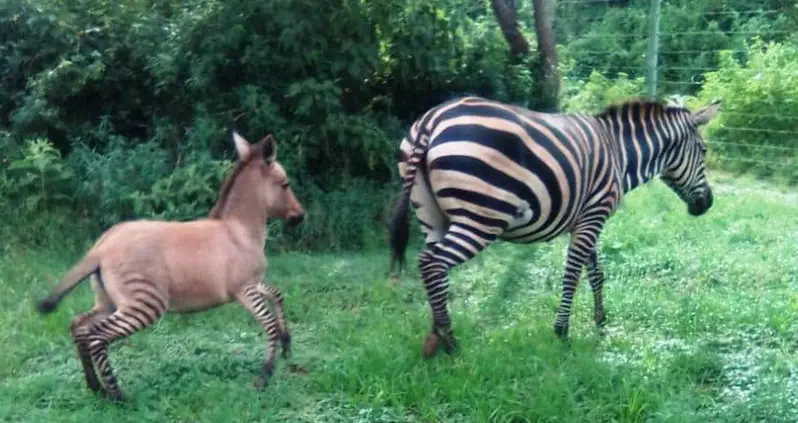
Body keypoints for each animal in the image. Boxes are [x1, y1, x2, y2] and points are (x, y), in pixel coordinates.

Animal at [34, 129, 304, 404]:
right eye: (285, 184)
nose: (300, 216)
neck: (238, 231)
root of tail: (101, 248)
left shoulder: (253, 283)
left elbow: (277, 295)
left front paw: (286, 344)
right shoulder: (244, 289)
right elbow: (269, 324)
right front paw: (264, 375)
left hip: (109, 302)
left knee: (79, 326)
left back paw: (95, 388)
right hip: (144, 303)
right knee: (96, 336)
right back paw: (117, 396)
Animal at [390, 95, 724, 358]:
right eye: (704, 151)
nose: (707, 203)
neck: (620, 154)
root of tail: (432, 119)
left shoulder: (587, 218)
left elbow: (596, 273)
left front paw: (600, 321)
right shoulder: (593, 215)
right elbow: (572, 274)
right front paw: (562, 331)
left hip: (432, 217)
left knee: (430, 268)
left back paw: (435, 335)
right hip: (481, 217)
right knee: (433, 264)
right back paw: (450, 342)